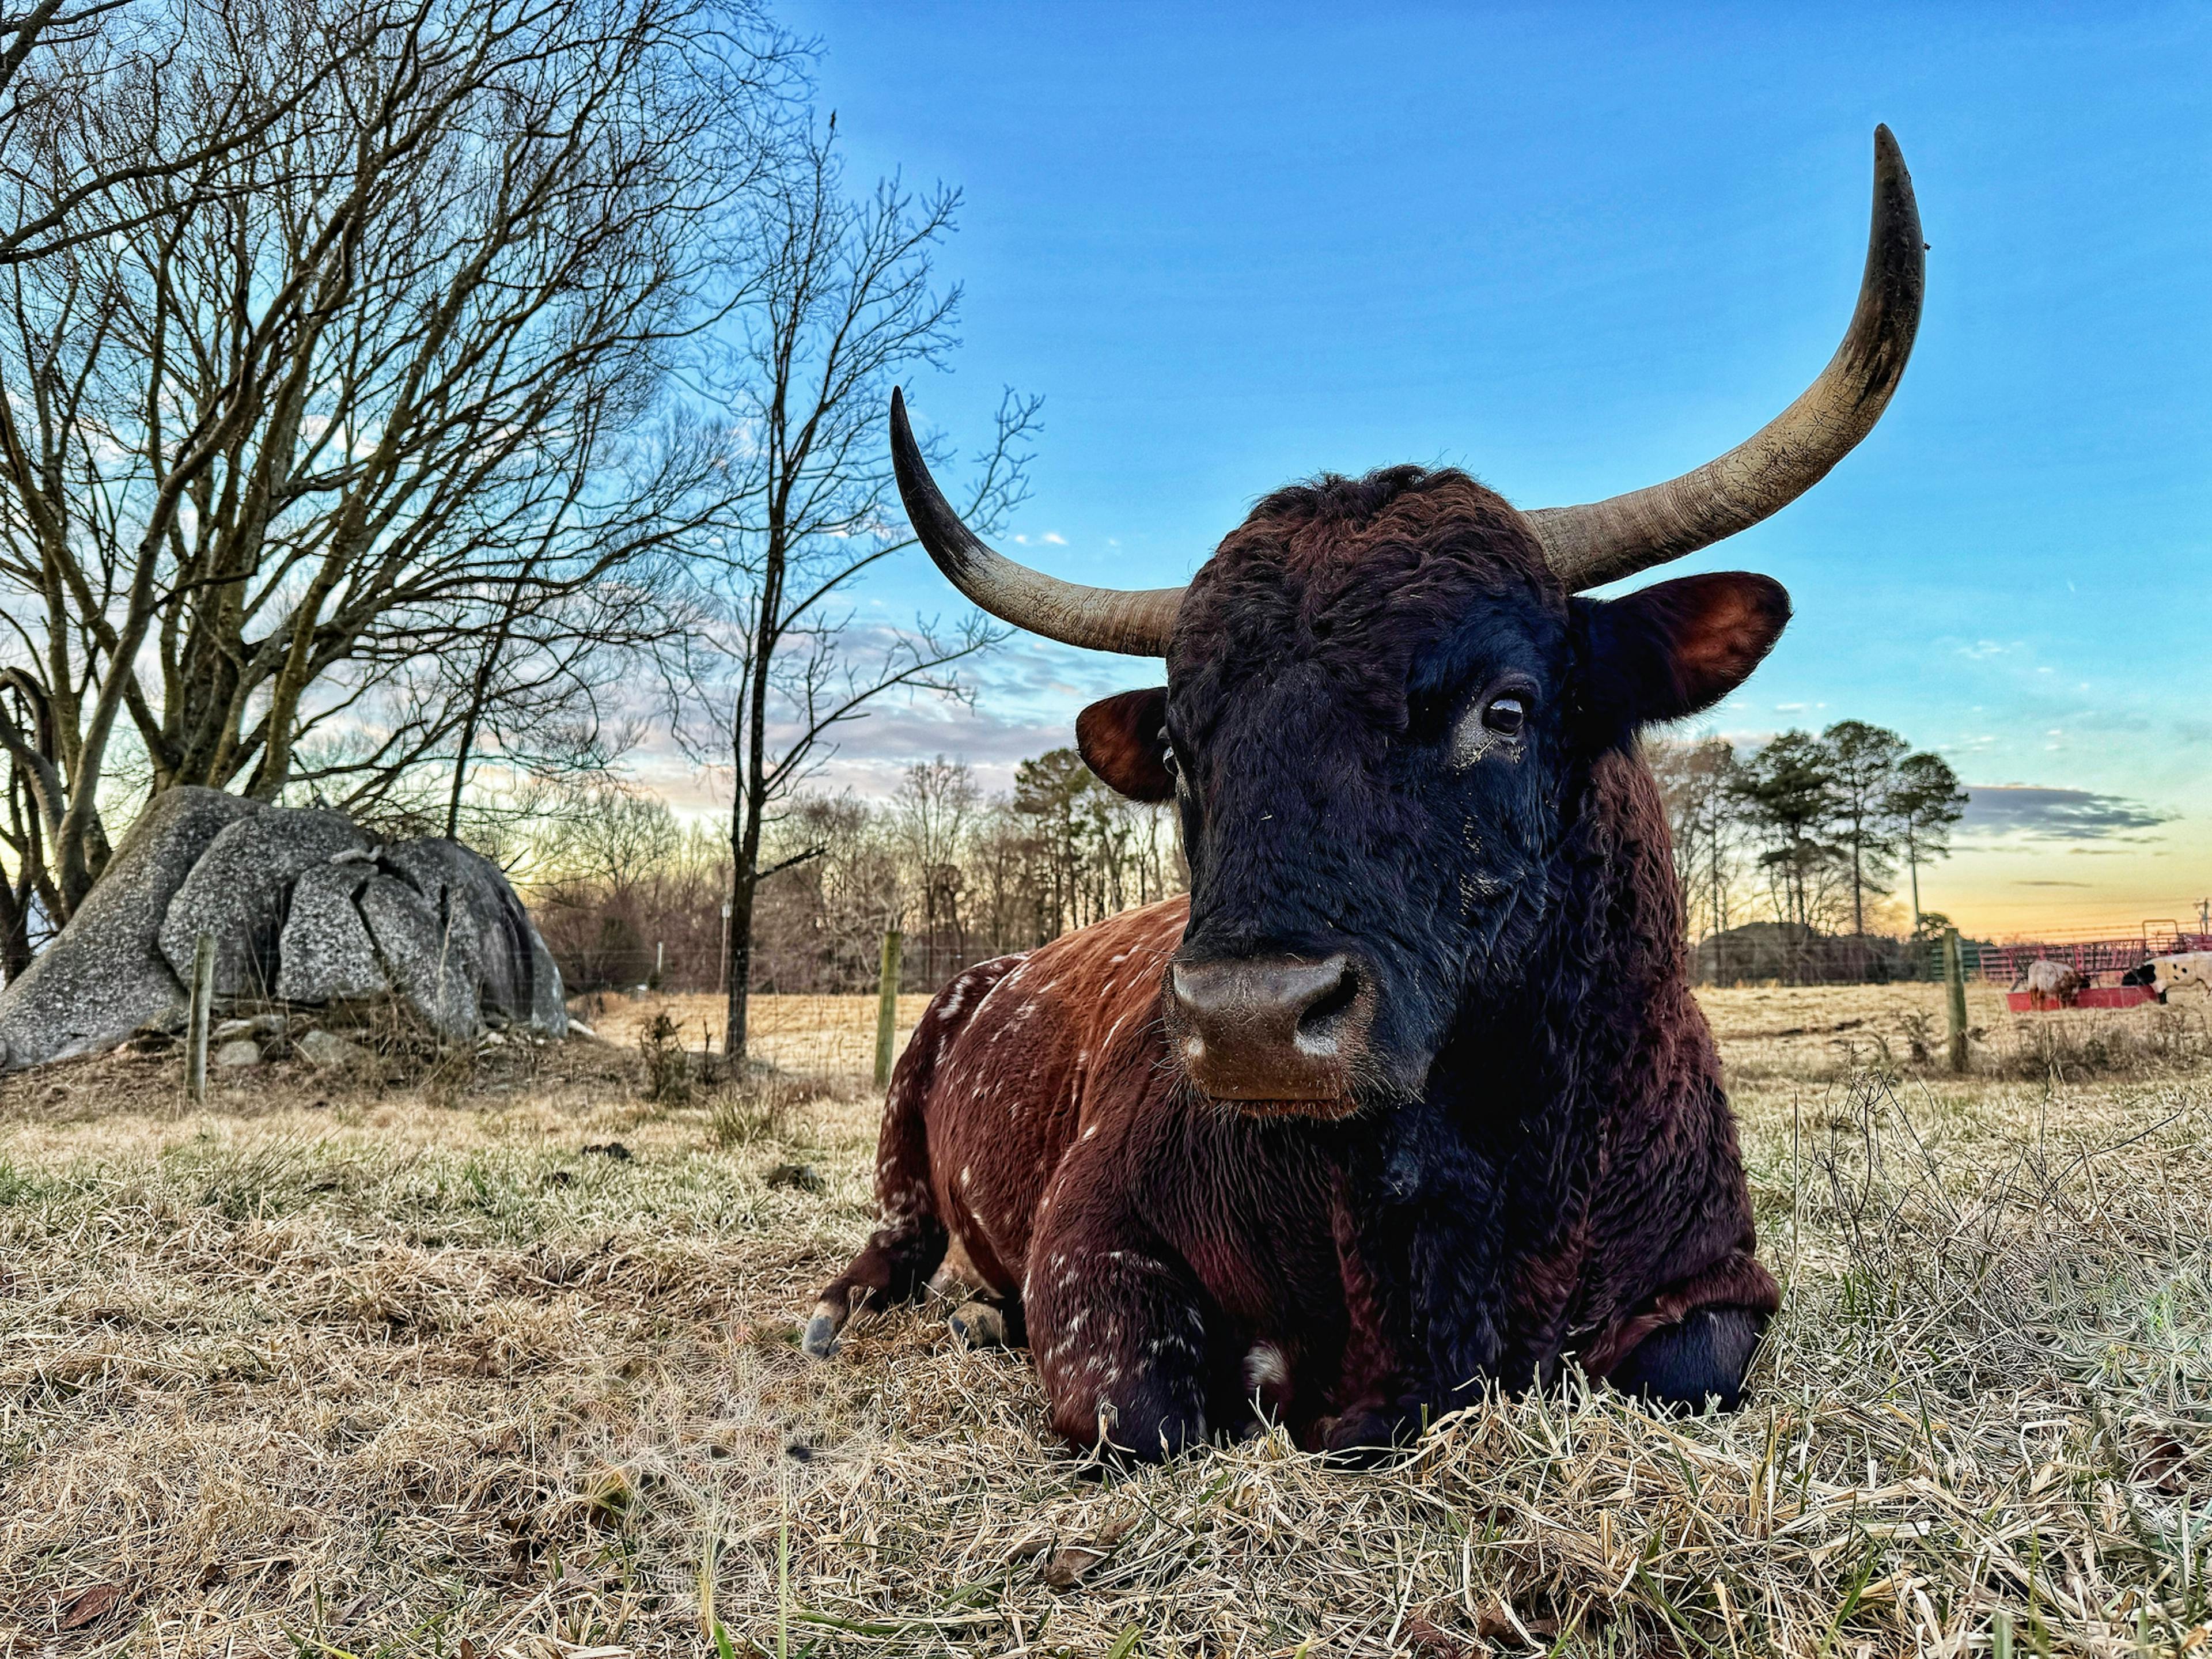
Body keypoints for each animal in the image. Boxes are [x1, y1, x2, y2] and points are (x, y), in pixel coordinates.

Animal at [805, 129, 1923, 1461]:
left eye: (1505, 708)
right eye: (1182, 745)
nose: (1249, 1019)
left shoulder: (1719, 1290)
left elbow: (1688, 1367)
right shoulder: (1092, 1247)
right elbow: (1149, 1409)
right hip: (902, 1129)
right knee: (892, 1245)